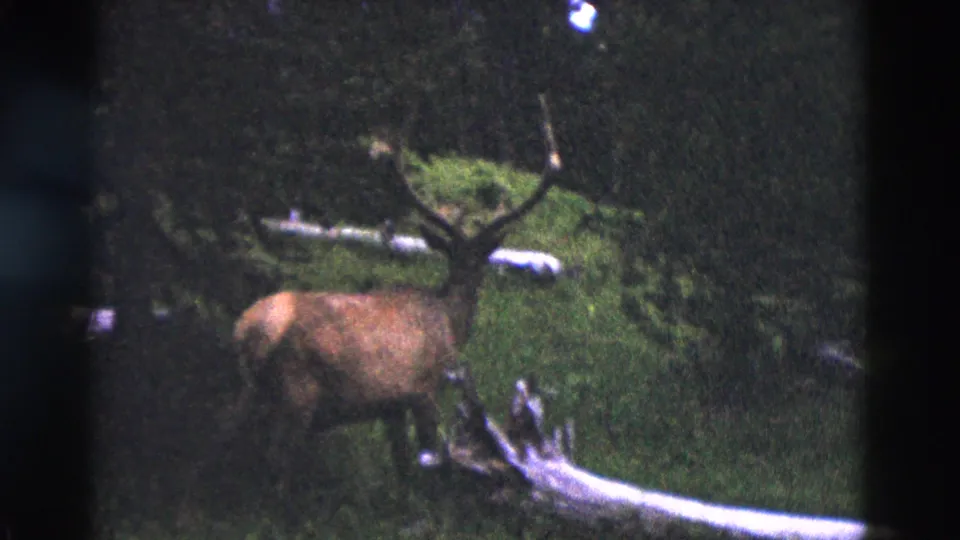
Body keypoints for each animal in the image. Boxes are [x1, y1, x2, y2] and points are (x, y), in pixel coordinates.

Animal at [177, 95, 562, 523]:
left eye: (479, 258)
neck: (449, 321)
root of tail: (249, 331)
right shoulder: (423, 388)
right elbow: (430, 457)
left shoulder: (390, 405)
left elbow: (402, 464)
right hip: (297, 391)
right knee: (277, 459)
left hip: (249, 386)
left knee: (216, 435)